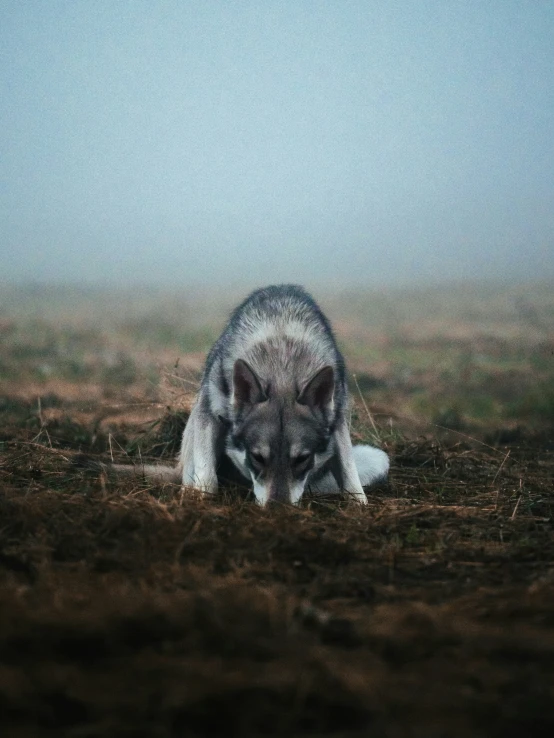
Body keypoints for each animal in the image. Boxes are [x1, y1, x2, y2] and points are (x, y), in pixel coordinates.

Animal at [108, 284, 386, 504]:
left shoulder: (338, 423)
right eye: (257, 457)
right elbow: (207, 478)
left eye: (302, 459)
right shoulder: (209, 415)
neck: (281, 362)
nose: (278, 509)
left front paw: (359, 506)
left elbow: (350, 476)